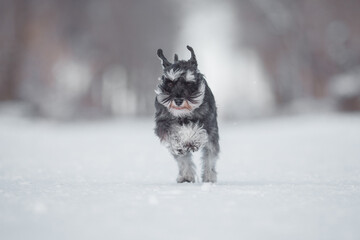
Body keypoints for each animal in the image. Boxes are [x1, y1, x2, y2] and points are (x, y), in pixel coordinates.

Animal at [153, 46, 218, 183]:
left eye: (189, 83)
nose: (178, 101)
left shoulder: (208, 123)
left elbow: (196, 130)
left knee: (210, 156)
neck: (183, 114)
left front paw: (192, 139)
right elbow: (174, 134)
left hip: (212, 137)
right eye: (170, 83)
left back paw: (209, 177)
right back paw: (186, 176)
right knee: (183, 159)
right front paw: (181, 140)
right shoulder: (163, 124)